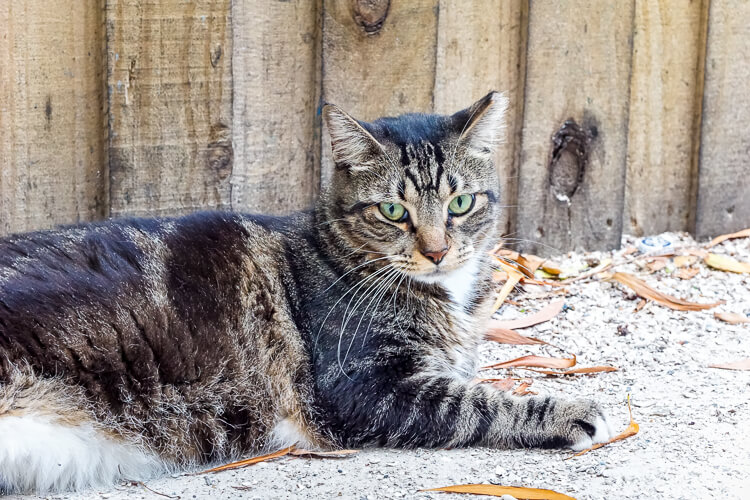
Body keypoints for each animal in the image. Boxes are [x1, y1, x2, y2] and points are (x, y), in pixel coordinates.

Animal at [0, 92, 612, 494]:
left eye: (461, 204)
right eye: (393, 211)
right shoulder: (365, 388)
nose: (437, 252)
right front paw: (571, 412)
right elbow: (478, 403)